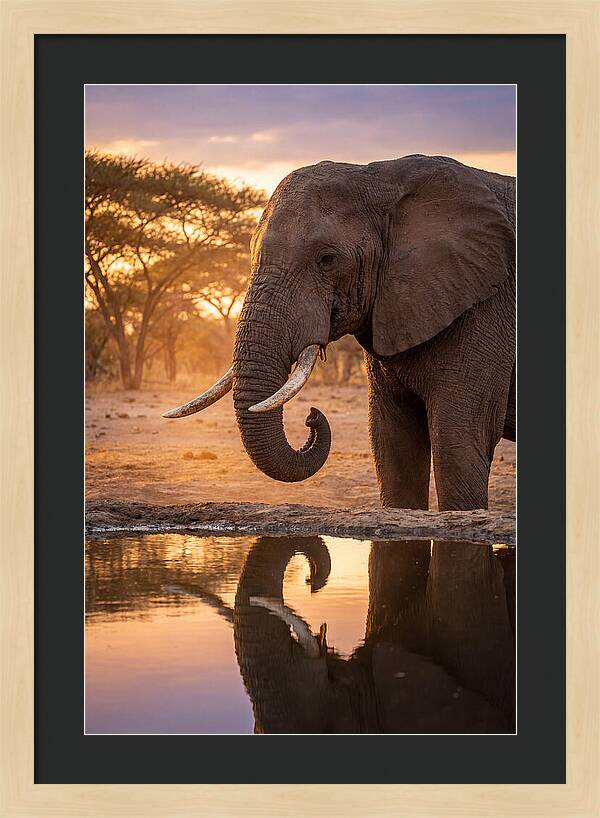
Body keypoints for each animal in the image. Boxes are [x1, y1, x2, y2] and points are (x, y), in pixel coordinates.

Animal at [164, 154, 515, 511]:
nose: (312, 416)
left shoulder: (487, 306)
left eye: (327, 259)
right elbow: (392, 444)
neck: (383, 177)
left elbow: (458, 440)